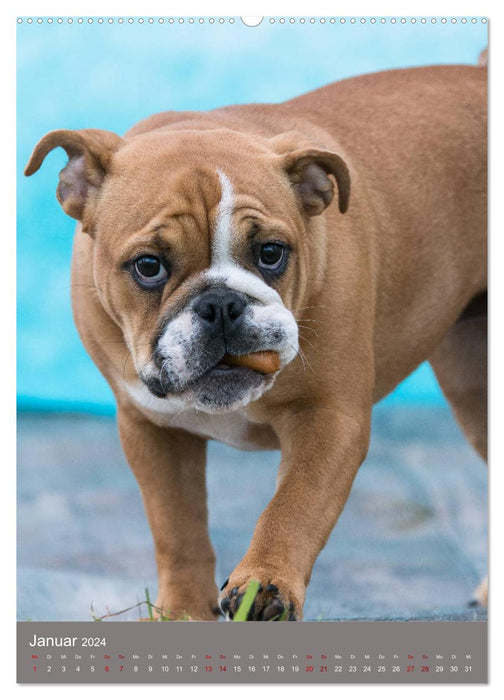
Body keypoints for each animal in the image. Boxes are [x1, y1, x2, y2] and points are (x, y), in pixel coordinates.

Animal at [25, 63, 486, 620]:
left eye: (271, 252)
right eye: (148, 266)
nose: (221, 304)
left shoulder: (328, 418)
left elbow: (295, 505)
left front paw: (265, 583)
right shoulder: (151, 429)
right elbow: (176, 527)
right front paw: (182, 610)